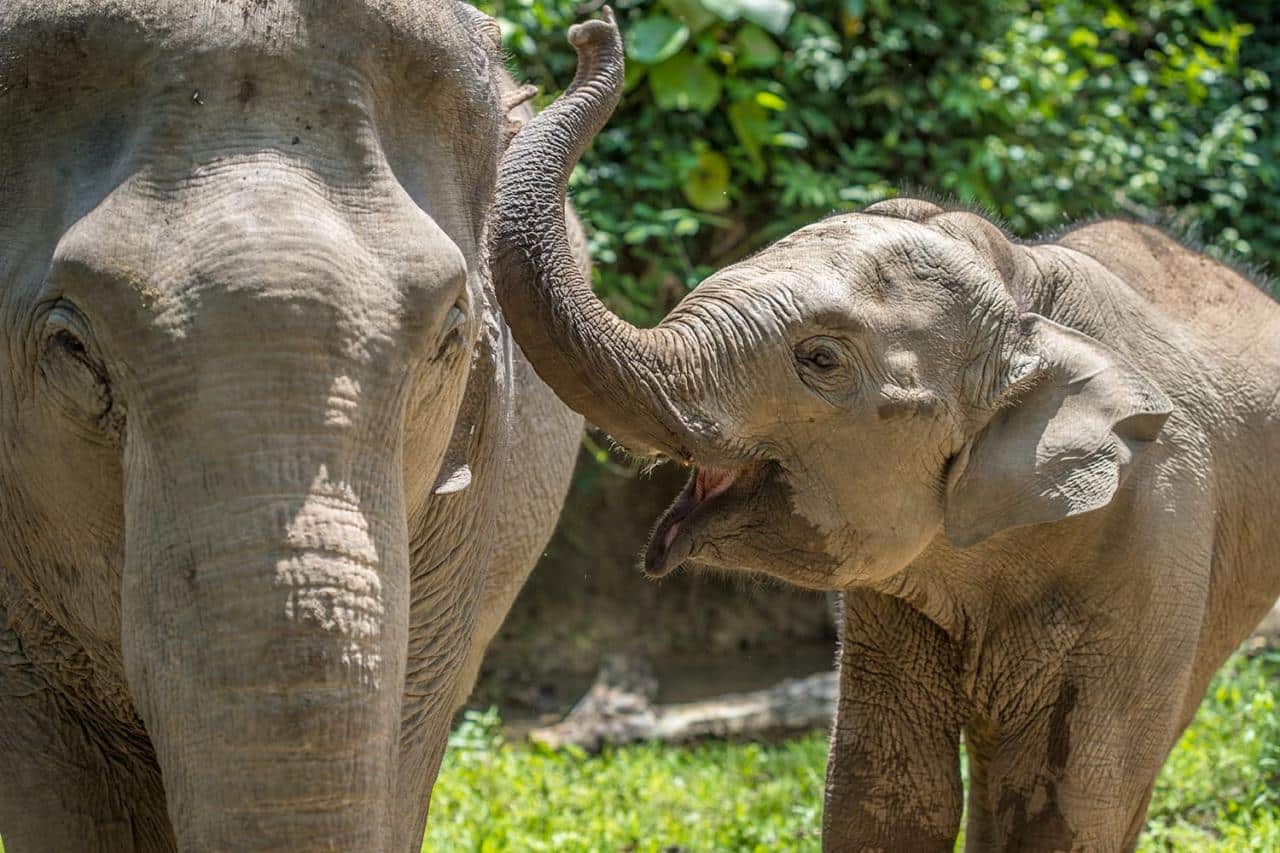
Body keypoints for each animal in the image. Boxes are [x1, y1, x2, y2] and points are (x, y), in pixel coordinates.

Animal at [494, 13, 1280, 850]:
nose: (589, 30)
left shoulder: (1154, 540)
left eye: (820, 358)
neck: (1021, 293)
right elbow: (888, 794)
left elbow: (1064, 807)